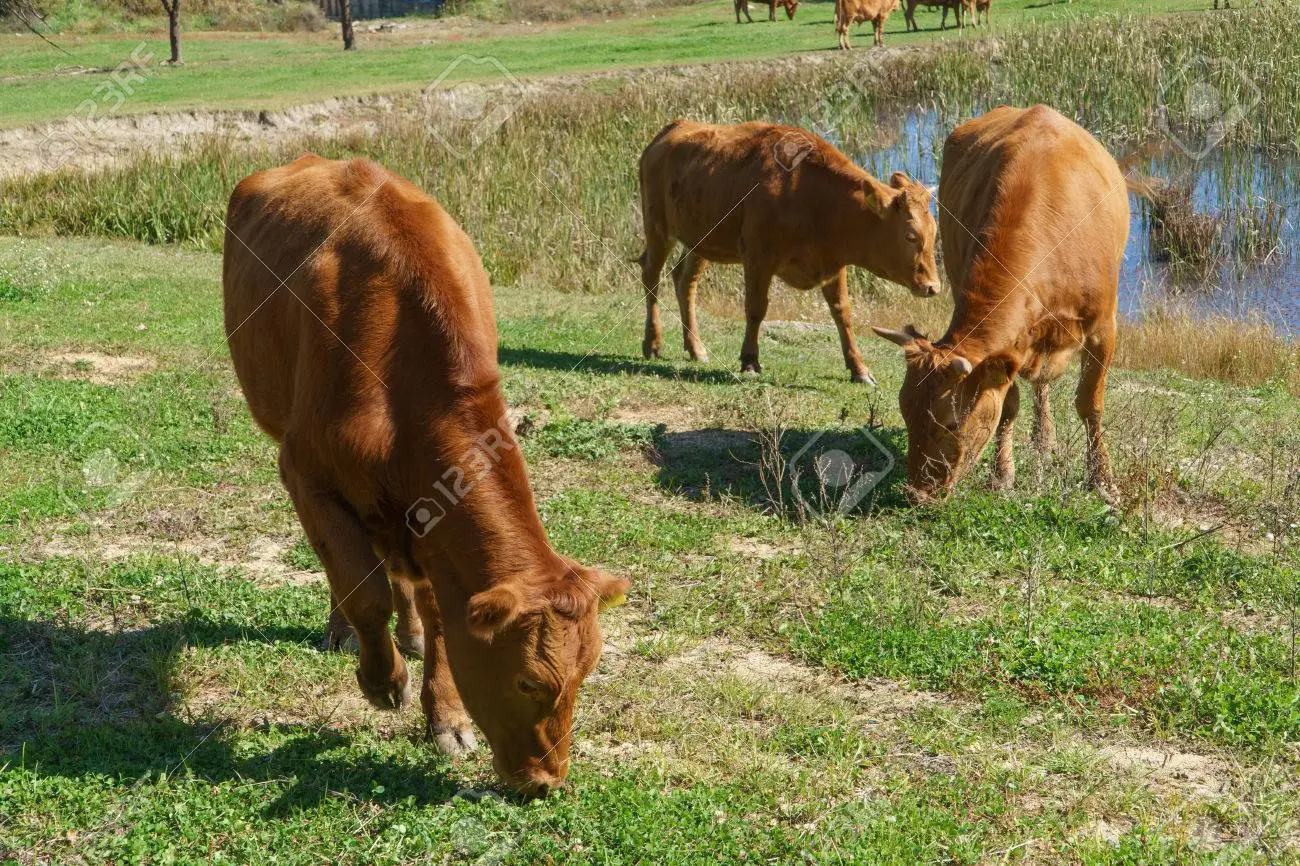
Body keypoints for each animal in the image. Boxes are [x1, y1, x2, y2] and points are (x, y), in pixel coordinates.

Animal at [223, 155, 629, 795]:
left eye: (586, 673)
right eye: (527, 681)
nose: (547, 782)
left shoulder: (431, 521)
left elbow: (439, 613)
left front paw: (447, 716)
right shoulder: (306, 473)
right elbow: (361, 589)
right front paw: (382, 681)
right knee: (349, 571)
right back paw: (345, 633)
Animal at [637, 120, 935, 382]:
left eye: (934, 232)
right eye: (910, 235)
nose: (933, 286)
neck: (813, 198)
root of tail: (671, 129)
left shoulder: (833, 263)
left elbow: (843, 313)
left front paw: (859, 369)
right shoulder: (758, 257)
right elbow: (756, 308)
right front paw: (750, 361)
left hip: (700, 240)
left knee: (684, 281)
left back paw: (696, 348)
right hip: (657, 227)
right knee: (651, 276)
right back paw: (652, 343)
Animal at [873, 107, 1128, 499]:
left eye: (950, 423)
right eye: (905, 411)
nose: (916, 492)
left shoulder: (1104, 327)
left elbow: (1091, 403)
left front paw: (1102, 479)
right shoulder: (1007, 349)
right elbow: (1007, 406)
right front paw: (1002, 474)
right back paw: (1043, 437)